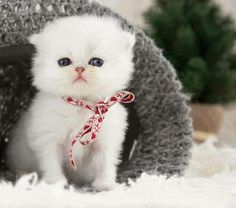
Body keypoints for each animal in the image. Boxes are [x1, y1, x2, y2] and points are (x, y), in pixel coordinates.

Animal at [6, 15, 136, 190]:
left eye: (97, 62)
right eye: (64, 62)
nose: (80, 68)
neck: (81, 104)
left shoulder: (106, 140)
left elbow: (105, 162)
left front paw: (105, 184)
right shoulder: (48, 138)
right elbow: (51, 162)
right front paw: (56, 183)